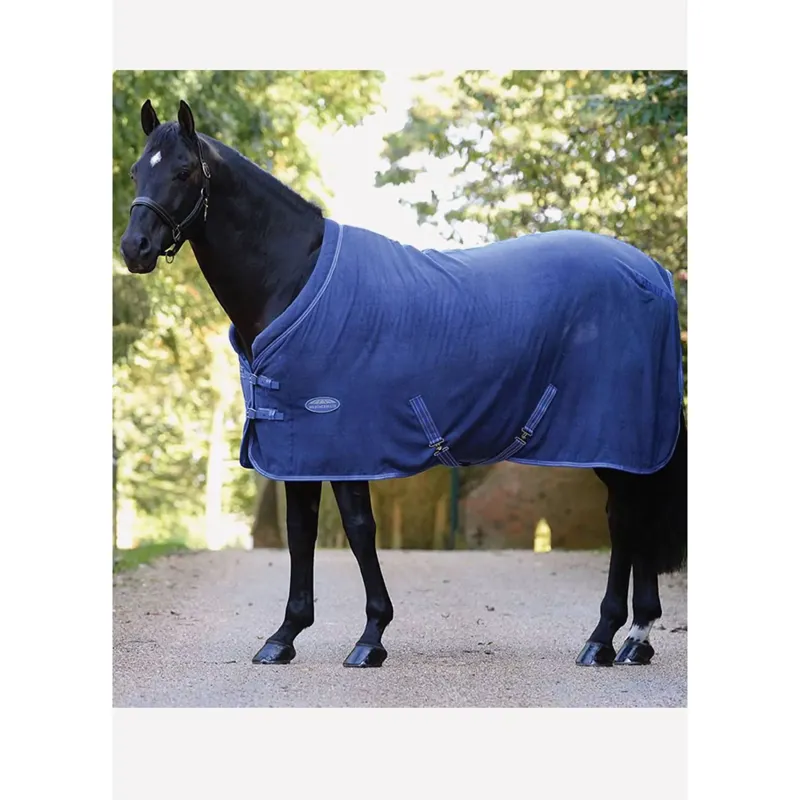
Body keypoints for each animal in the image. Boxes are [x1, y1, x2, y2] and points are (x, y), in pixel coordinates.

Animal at [120, 99, 687, 669]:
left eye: (184, 171)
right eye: (136, 171)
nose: (134, 248)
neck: (294, 277)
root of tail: (655, 274)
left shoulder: (343, 440)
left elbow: (357, 529)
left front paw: (371, 637)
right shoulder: (297, 446)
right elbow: (302, 532)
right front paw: (284, 636)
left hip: (611, 438)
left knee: (625, 520)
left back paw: (606, 637)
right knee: (632, 516)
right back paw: (634, 640)